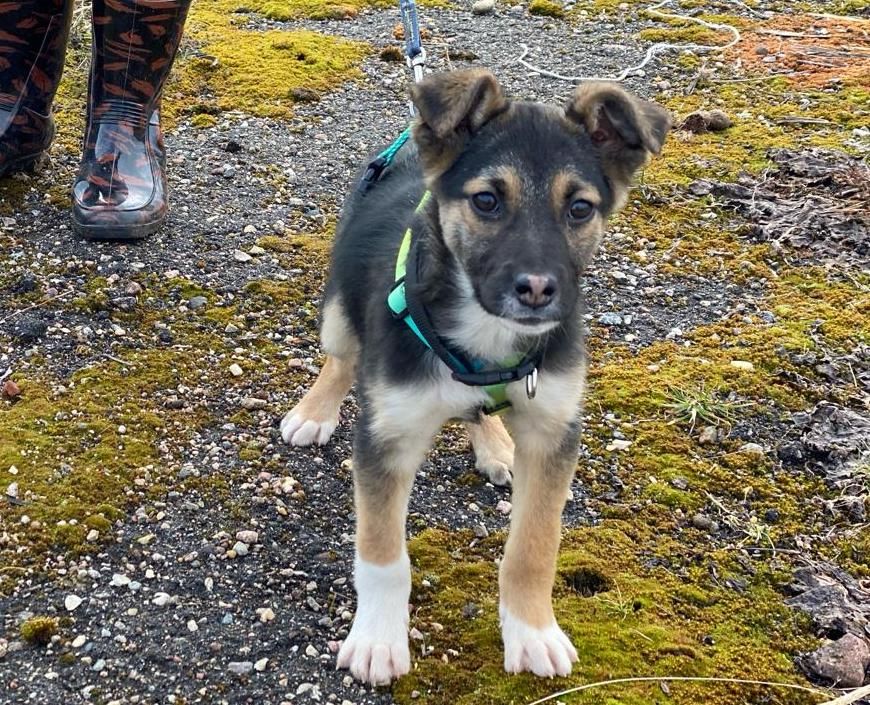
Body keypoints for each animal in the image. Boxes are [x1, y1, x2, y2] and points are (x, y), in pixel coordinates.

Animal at [282, 70, 672, 680]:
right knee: (342, 359)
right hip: (339, 314)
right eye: (487, 200)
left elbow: (534, 548)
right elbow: (382, 555)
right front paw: (376, 641)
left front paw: (532, 631)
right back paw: (314, 412)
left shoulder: (554, 431)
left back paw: (495, 443)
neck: (486, 335)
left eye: (580, 209)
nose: (537, 290)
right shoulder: (387, 437)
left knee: (477, 409)